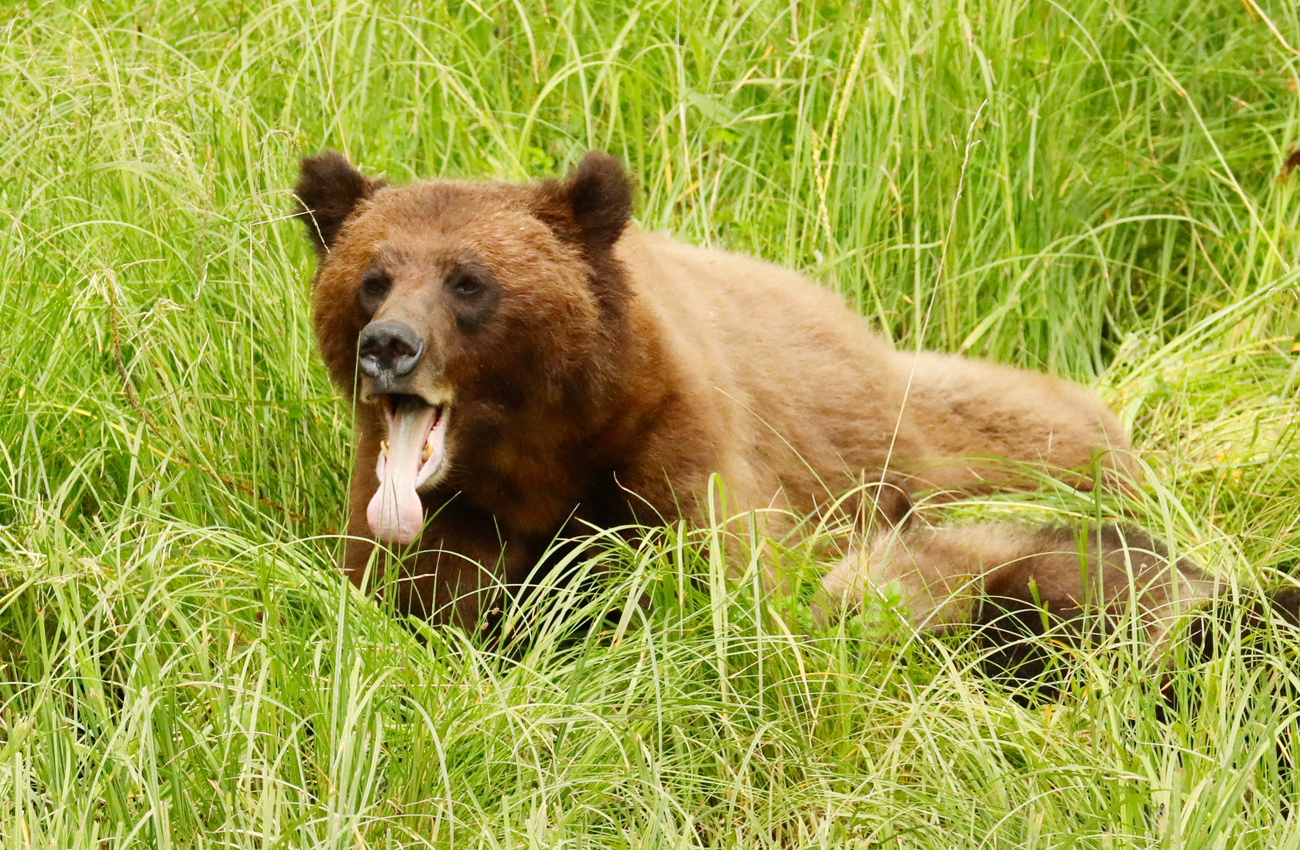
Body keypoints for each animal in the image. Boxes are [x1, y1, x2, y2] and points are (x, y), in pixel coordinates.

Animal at [299, 151, 1133, 631]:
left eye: (468, 281)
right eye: (373, 278)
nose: (389, 347)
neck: (536, 452)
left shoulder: (669, 449)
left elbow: (722, 582)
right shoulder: (436, 512)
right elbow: (412, 600)